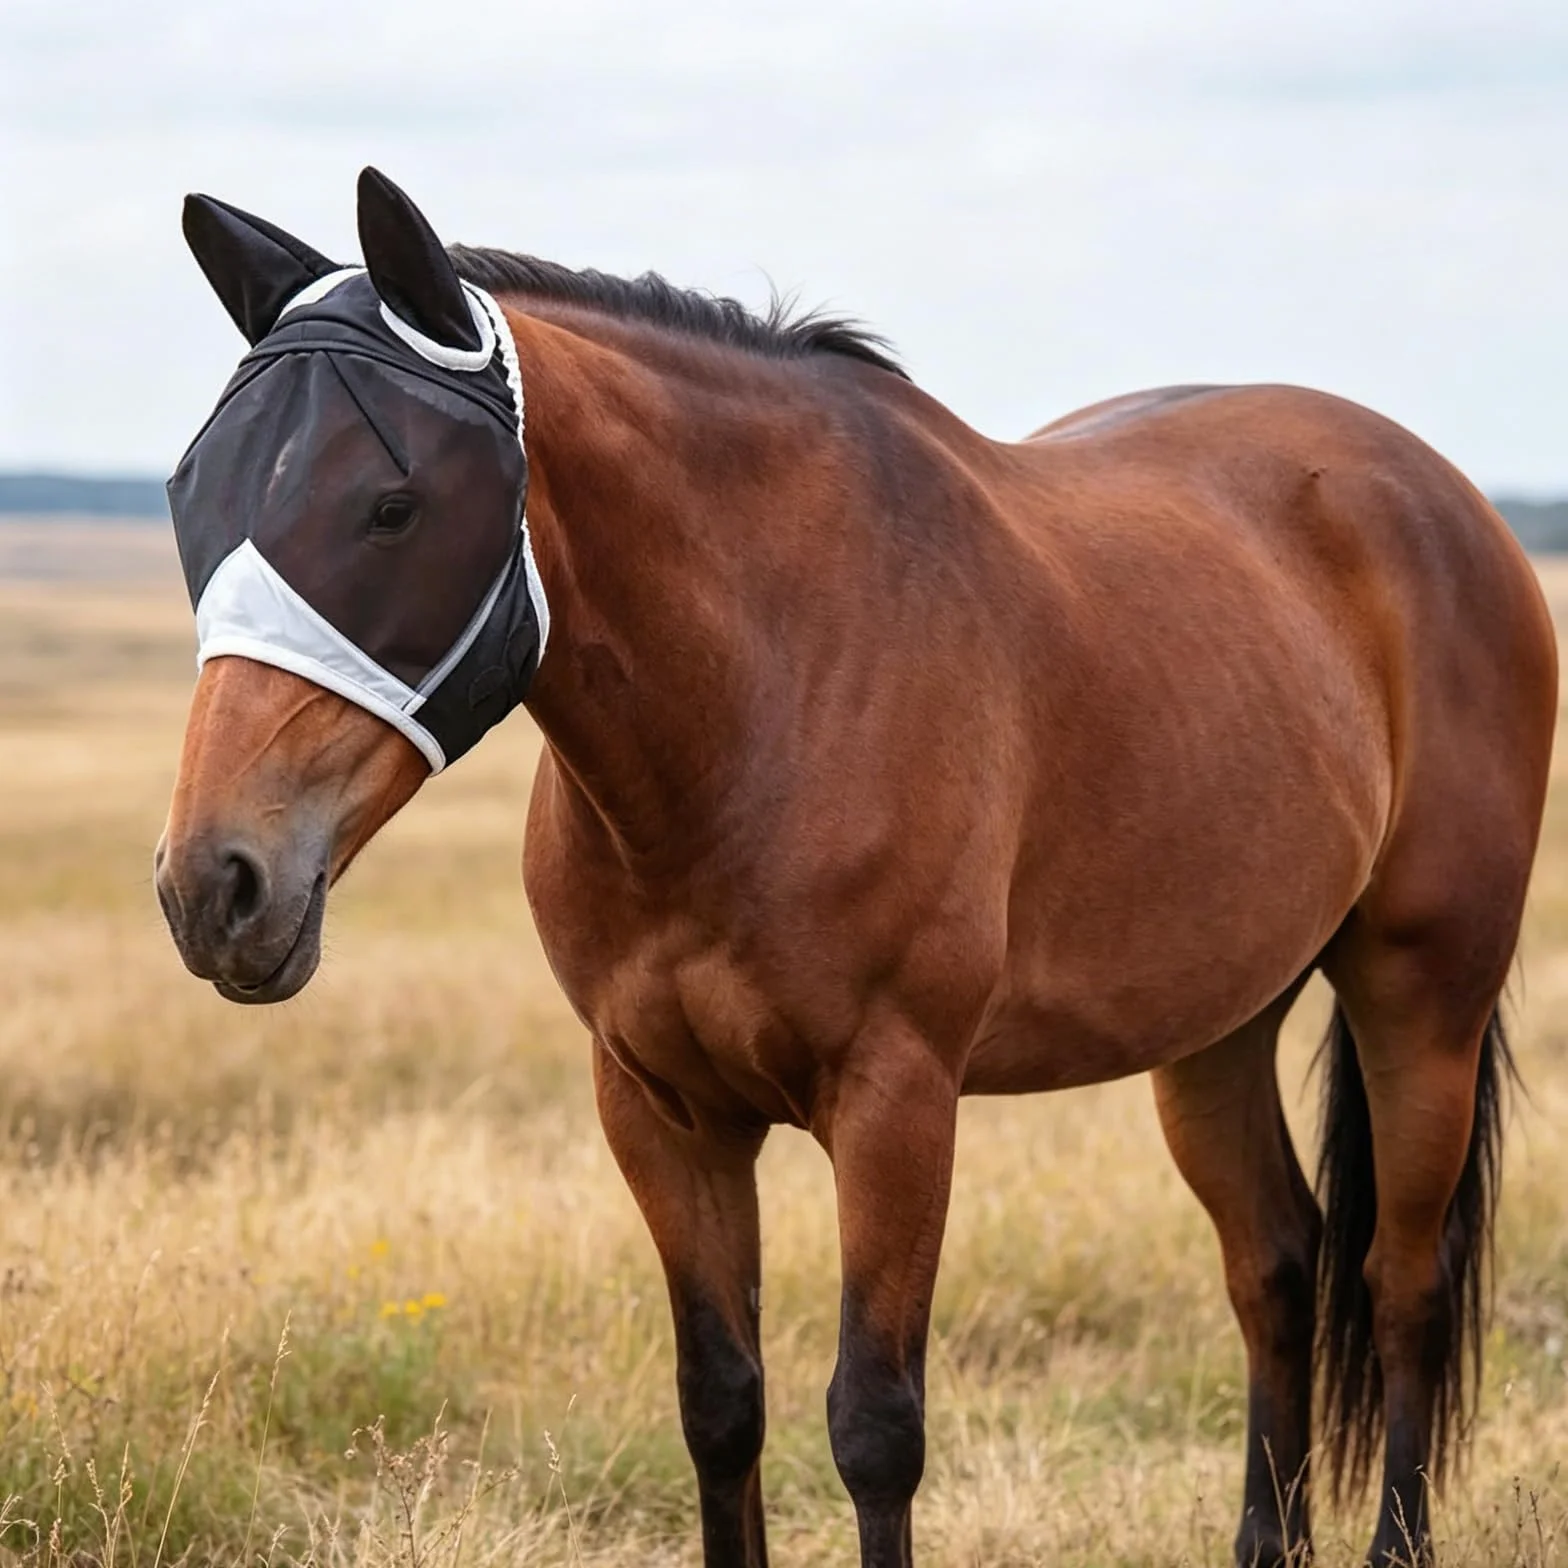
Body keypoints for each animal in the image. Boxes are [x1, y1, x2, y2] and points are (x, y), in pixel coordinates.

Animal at [154, 169, 1556, 1568]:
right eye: (189, 496)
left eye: (393, 507)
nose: (212, 886)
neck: (761, 697)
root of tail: (1441, 501)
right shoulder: (659, 1106)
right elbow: (719, 1402)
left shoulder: (895, 1099)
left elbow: (874, 1423)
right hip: (1213, 1021)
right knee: (1274, 1263)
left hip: (1419, 993)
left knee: (1400, 1281)